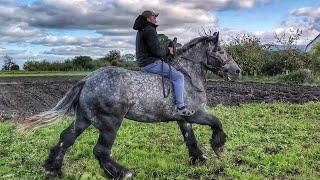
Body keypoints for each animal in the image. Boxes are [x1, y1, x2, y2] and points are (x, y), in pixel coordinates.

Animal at [20, 32, 240, 179]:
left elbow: (190, 140)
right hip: (110, 123)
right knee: (100, 151)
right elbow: (216, 122)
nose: (237, 71)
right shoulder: (194, 114)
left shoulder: (183, 118)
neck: (187, 77)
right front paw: (219, 147)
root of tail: (87, 80)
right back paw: (123, 173)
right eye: (220, 51)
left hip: (83, 119)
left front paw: (199, 159)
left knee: (66, 139)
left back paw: (53, 169)